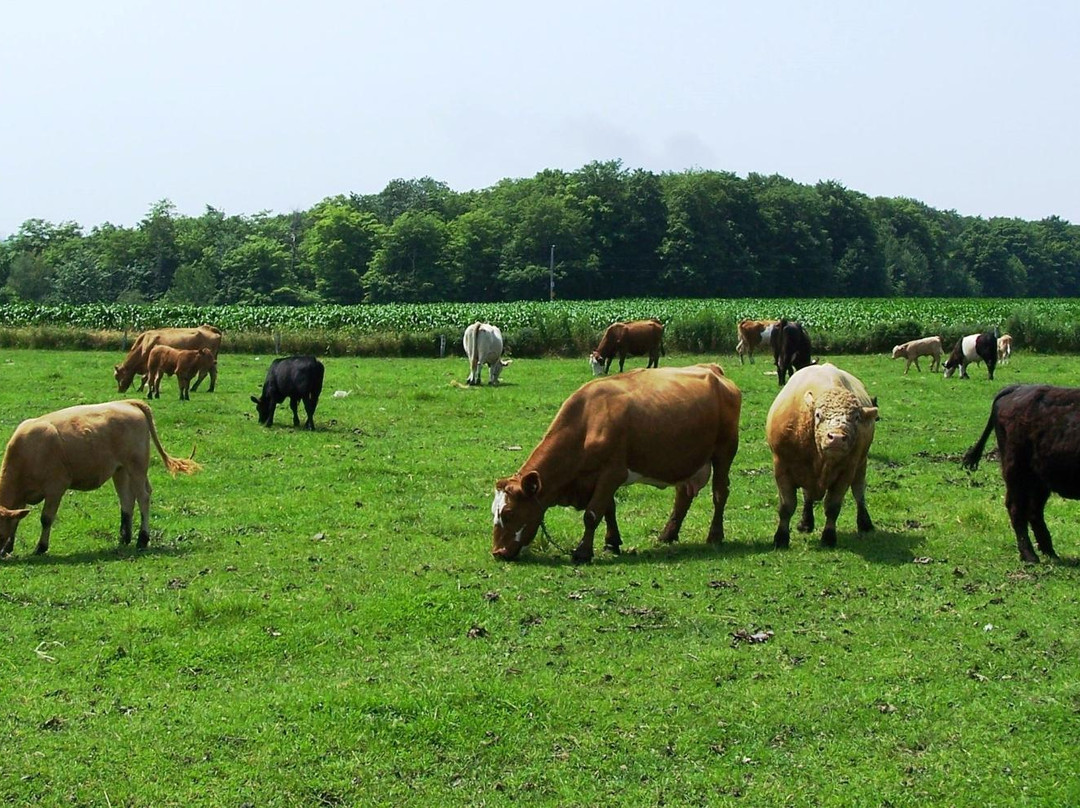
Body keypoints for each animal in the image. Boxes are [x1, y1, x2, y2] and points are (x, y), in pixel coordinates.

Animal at [0, 399, 201, 557]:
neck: (29, 453)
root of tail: (128, 402)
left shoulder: (55, 488)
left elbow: (46, 518)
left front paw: (40, 547)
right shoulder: (22, 496)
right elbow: (16, 519)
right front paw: (8, 548)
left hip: (136, 467)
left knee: (143, 497)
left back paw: (142, 540)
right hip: (120, 470)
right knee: (127, 499)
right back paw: (124, 537)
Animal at [492, 365, 738, 561]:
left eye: (508, 513)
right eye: (494, 512)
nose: (497, 552)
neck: (587, 422)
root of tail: (713, 369)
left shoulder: (613, 472)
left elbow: (592, 514)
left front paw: (582, 552)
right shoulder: (599, 478)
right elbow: (609, 509)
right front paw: (612, 542)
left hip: (724, 451)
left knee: (720, 493)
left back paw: (715, 536)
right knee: (683, 495)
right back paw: (668, 534)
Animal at [768, 360, 876, 546]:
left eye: (856, 417)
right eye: (818, 415)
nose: (837, 438)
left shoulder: (846, 472)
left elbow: (833, 507)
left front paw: (829, 537)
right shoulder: (782, 468)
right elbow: (787, 506)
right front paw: (781, 538)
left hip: (861, 465)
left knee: (859, 493)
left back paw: (865, 523)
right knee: (808, 496)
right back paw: (806, 522)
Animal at [963, 384, 1080, 561]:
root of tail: (1018, 387)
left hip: (1038, 480)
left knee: (1034, 511)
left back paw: (1050, 553)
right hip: (1017, 472)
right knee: (1017, 508)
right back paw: (1030, 556)